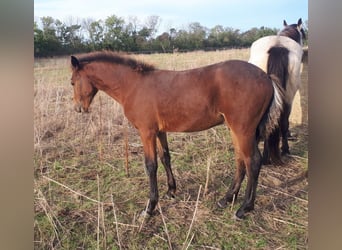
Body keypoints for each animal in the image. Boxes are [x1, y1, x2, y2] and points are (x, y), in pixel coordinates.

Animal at [69, 50, 284, 219]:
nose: (78, 109)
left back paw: (244, 208)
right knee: (240, 160)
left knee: (253, 161)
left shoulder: (146, 132)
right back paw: (226, 199)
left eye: (72, 82)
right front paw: (171, 191)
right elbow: (165, 157)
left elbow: (151, 166)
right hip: (236, 130)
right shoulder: (159, 131)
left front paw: (149, 208)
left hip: (243, 130)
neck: (133, 86)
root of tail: (267, 77)